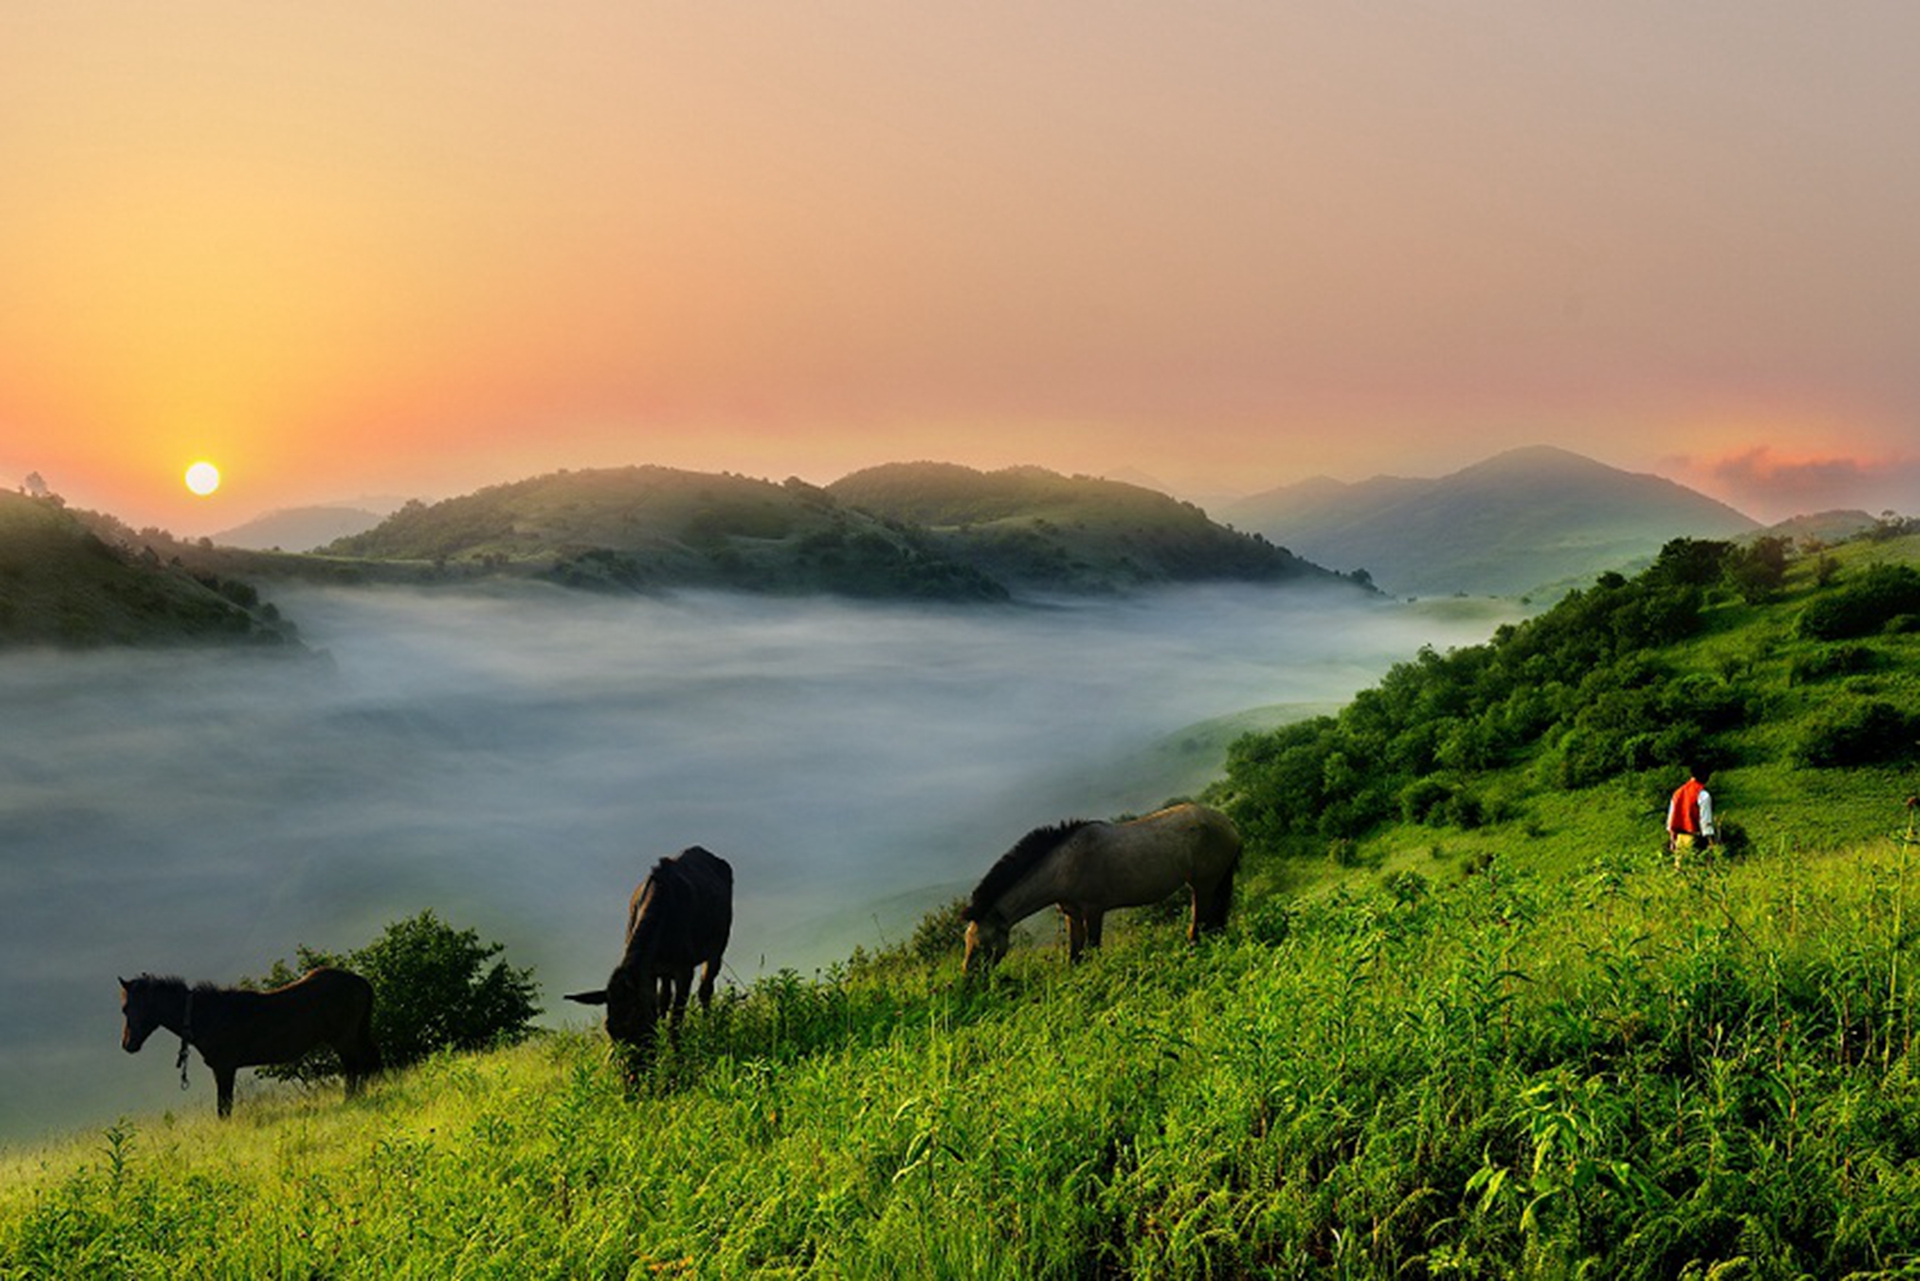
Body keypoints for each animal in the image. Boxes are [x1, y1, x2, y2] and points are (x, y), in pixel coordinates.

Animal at [120, 967, 382, 1113]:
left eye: (124, 1008)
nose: (127, 1045)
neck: (205, 1015)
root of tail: (359, 981)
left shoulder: (224, 1068)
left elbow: (224, 1106)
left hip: (344, 1039)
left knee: (354, 1067)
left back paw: (351, 1100)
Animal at [560, 845, 733, 1060]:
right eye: (609, 1028)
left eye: (639, 1021)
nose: (633, 1066)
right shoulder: (651, 970)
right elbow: (661, 1004)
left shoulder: (684, 968)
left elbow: (676, 1019)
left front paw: (678, 1056)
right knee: (666, 995)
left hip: (718, 947)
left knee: (705, 989)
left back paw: (709, 1029)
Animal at [960, 802, 1244, 983]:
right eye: (966, 942)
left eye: (982, 945)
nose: (968, 980)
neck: (1063, 865)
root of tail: (1227, 822)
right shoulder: (1072, 915)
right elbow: (1075, 956)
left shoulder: (1093, 911)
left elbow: (1092, 949)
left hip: (1204, 885)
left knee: (1201, 925)